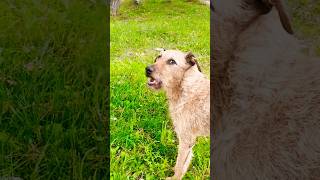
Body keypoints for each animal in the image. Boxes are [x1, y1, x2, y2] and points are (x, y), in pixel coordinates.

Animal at [145, 49, 210, 180]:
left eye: (172, 61)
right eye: (158, 57)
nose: (147, 69)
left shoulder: (186, 139)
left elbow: (180, 164)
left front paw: (175, 177)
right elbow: (184, 163)